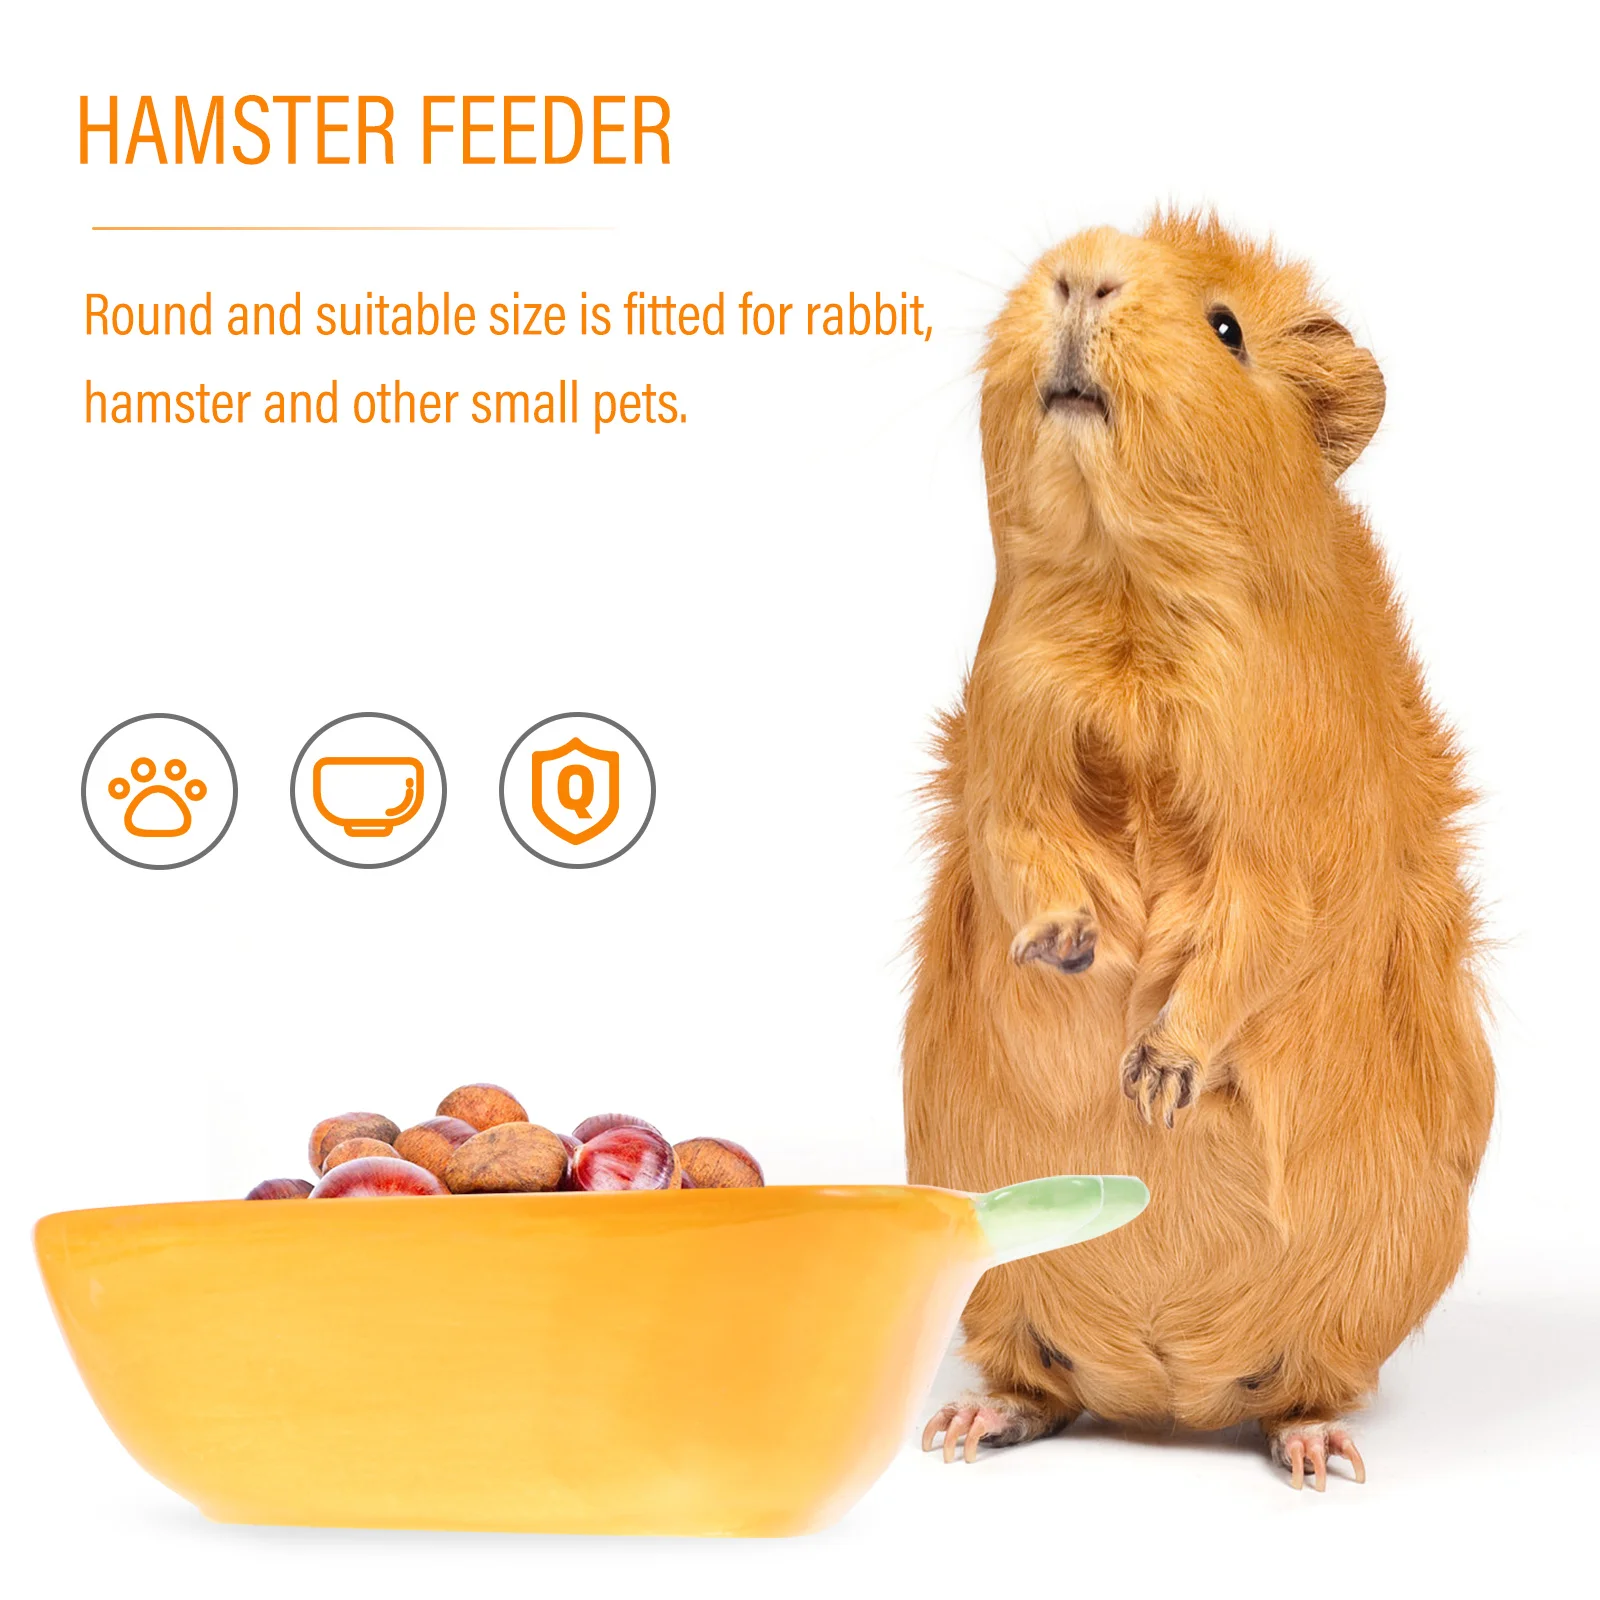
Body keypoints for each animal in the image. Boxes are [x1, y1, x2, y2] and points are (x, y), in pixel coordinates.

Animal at [904, 212, 1494, 1489]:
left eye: (1226, 328)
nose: (1082, 272)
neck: (1128, 613)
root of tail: (1163, 1393)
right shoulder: (1010, 743)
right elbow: (1026, 854)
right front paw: (1065, 951)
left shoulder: (1279, 823)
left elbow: (1247, 935)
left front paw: (1154, 1081)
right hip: (1004, 1302)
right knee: (1033, 1387)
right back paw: (961, 1433)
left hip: (1345, 1317)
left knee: (1303, 1394)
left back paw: (1320, 1460)